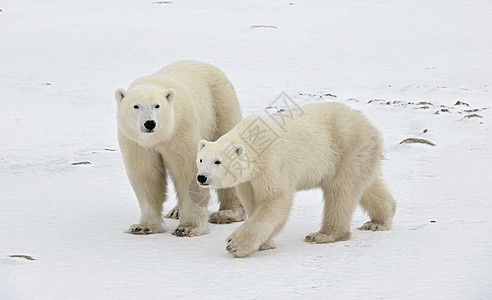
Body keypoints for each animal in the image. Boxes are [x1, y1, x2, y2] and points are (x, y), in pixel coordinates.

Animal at [116, 59, 246, 236]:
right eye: (136, 106)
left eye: (157, 105)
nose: (150, 123)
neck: (158, 137)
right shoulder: (136, 143)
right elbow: (146, 175)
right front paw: (142, 227)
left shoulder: (180, 131)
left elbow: (187, 172)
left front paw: (188, 228)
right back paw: (175, 211)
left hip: (220, 109)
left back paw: (228, 213)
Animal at [196, 102, 396, 256]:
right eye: (200, 159)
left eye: (217, 161)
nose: (201, 177)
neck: (254, 142)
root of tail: (370, 126)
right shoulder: (248, 180)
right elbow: (253, 202)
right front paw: (264, 243)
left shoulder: (272, 163)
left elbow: (276, 198)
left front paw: (235, 244)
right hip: (359, 155)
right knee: (366, 186)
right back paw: (378, 221)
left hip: (347, 149)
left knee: (341, 192)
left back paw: (323, 234)